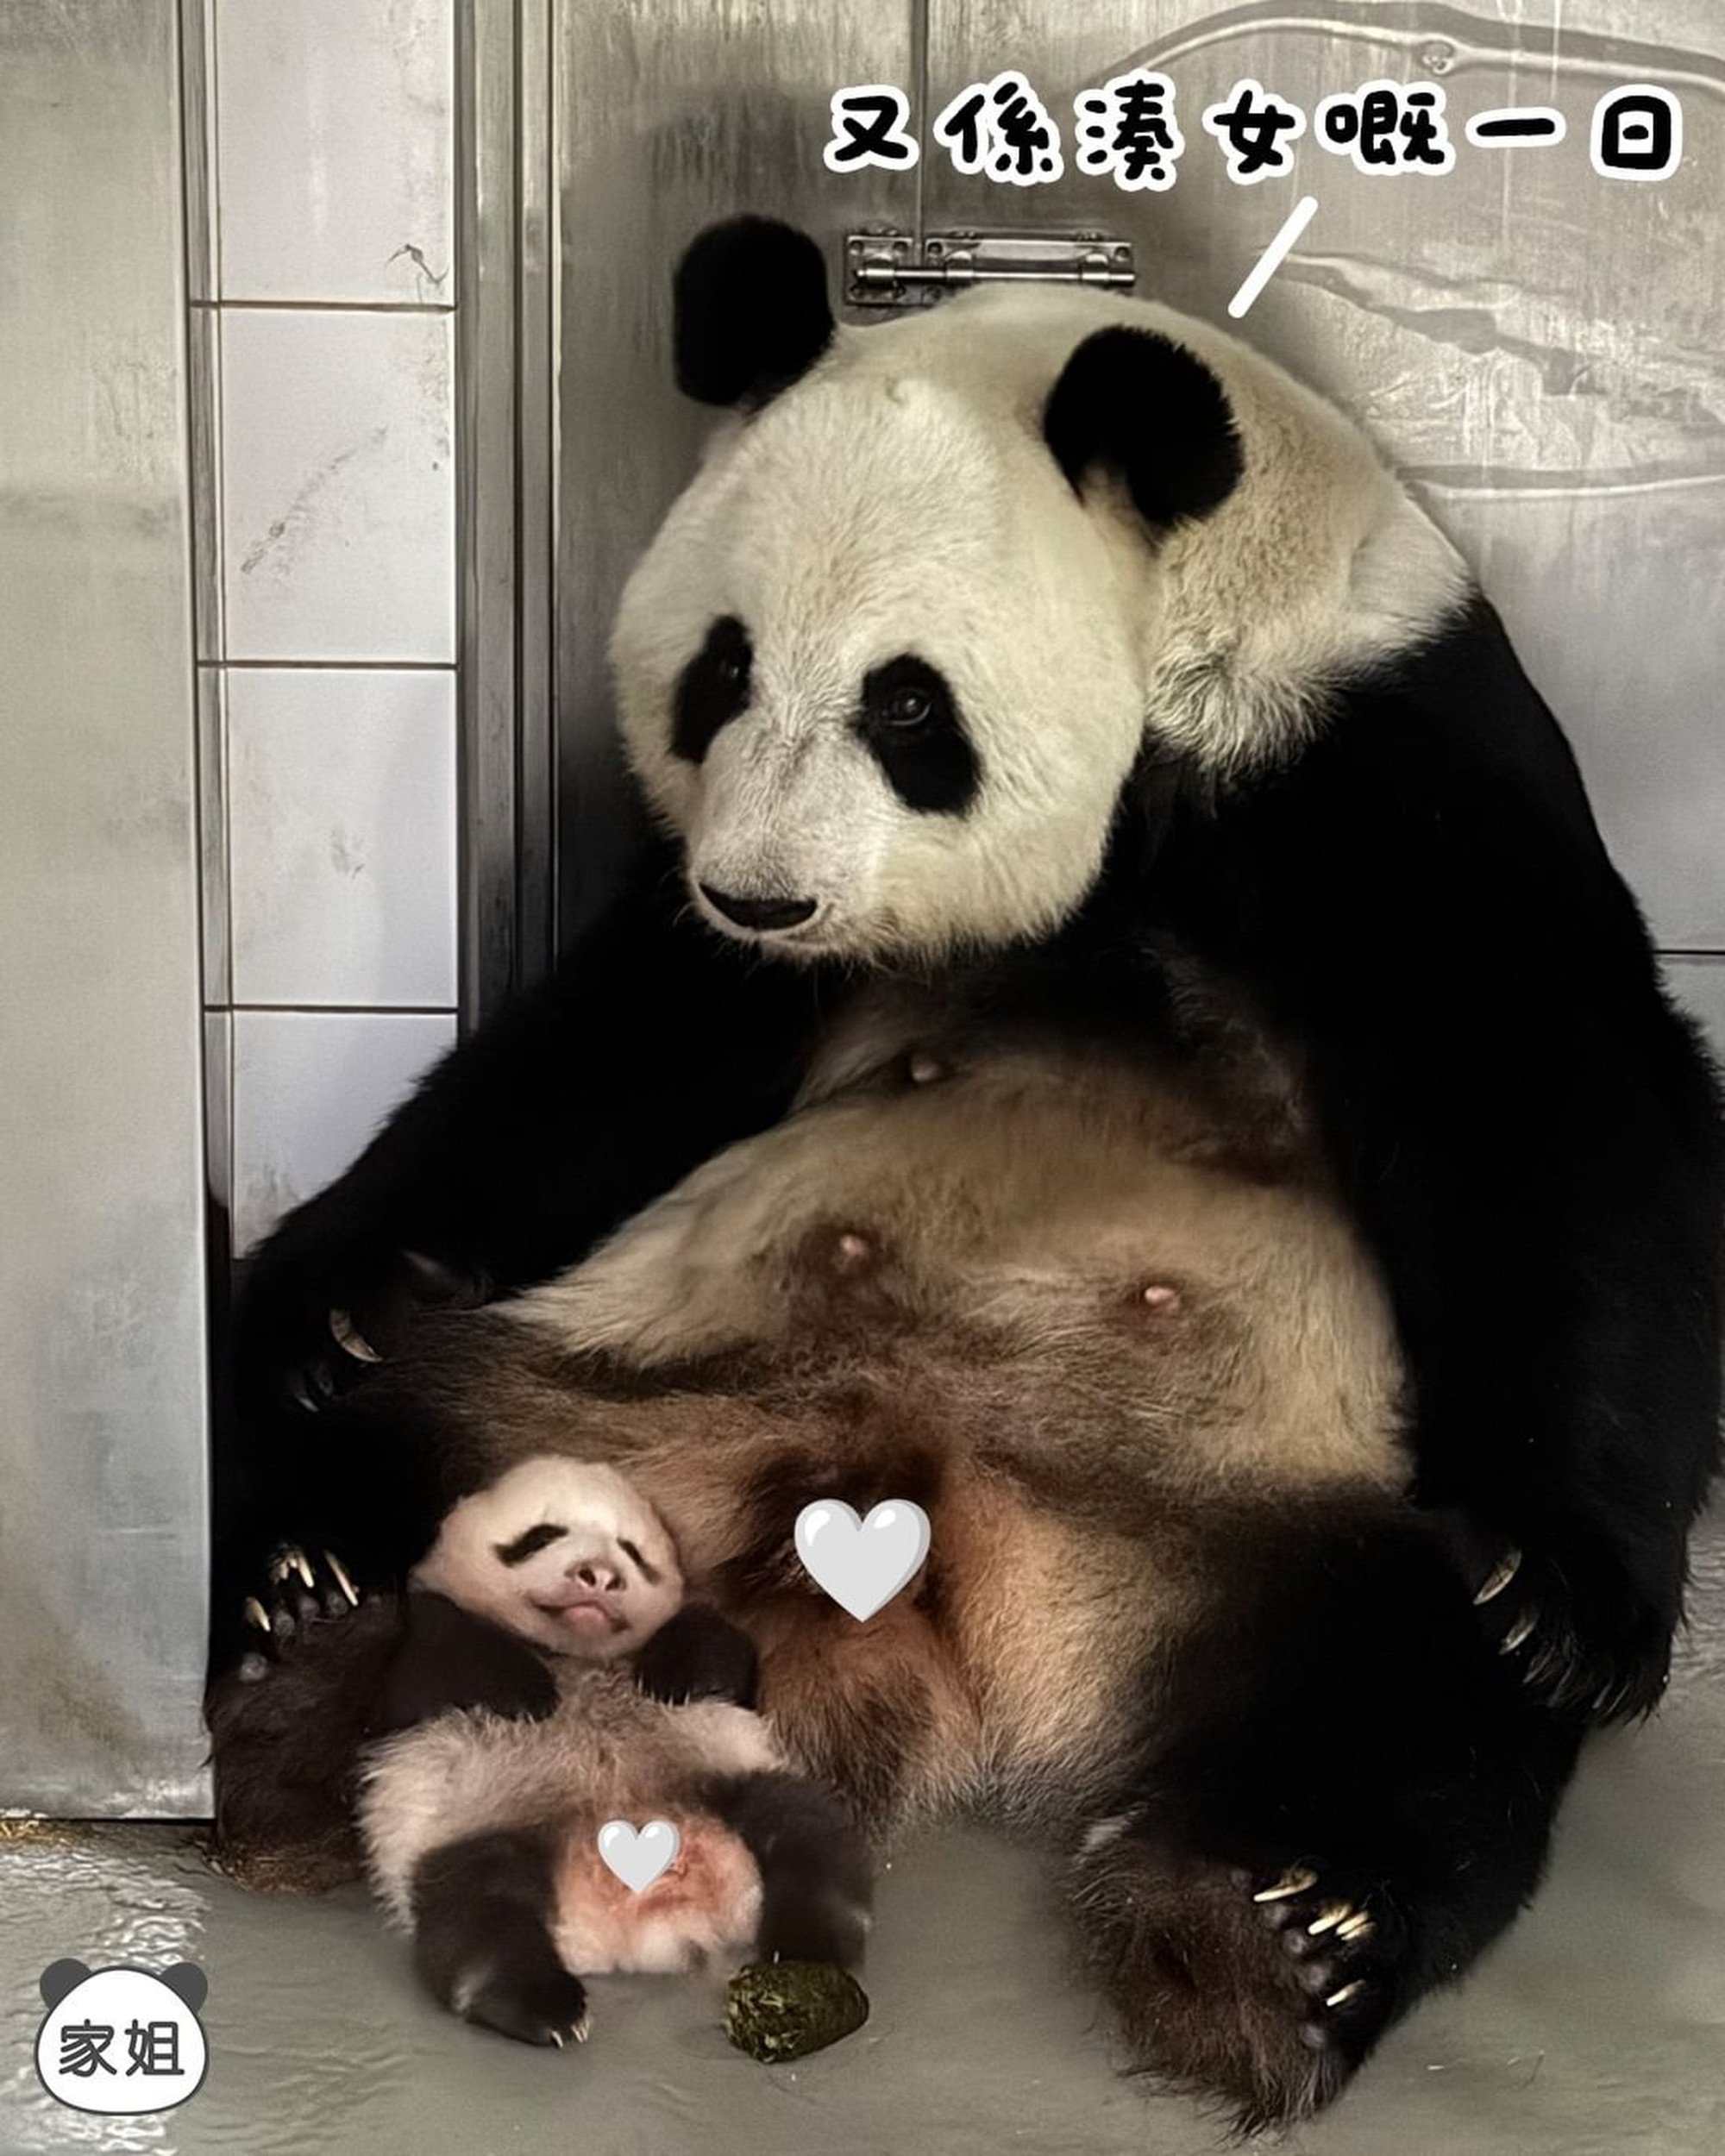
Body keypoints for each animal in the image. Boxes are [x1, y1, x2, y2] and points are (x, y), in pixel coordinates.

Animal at [212, 214, 1725, 2122]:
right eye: (719, 670)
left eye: (907, 703)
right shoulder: (716, 942)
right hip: (587, 1383)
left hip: (1270, 1509)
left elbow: (1558, 1113)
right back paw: (306, 1626)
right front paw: (325, 1289)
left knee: (1405, 1686)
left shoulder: (1380, 761)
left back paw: (1269, 1920)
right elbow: (605, 1051)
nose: (764, 892)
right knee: (378, 1437)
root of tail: (932, 1572)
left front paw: (1567, 1595)